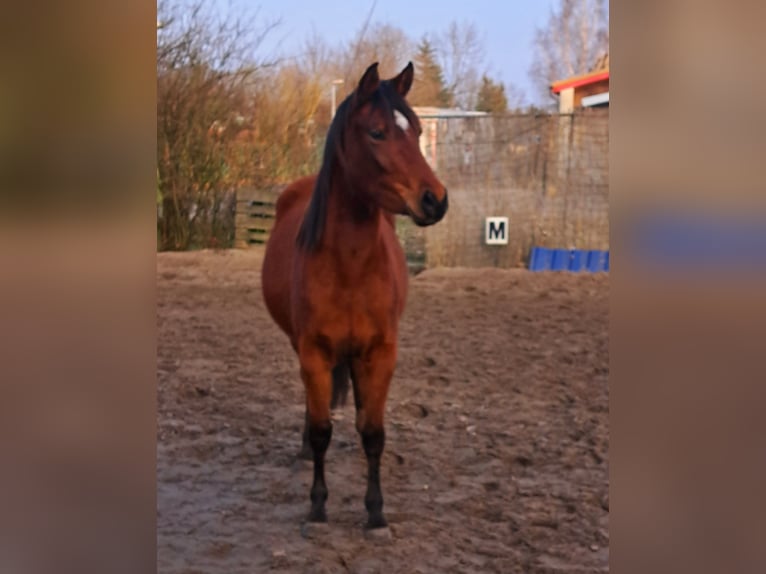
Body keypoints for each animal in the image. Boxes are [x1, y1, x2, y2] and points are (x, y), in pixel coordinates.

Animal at [262, 63, 450, 536]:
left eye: (417, 130)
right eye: (377, 132)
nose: (435, 200)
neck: (348, 266)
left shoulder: (381, 352)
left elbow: (373, 432)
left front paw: (376, 512)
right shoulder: (312, 351)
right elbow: (322, 429)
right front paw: (317, 507)